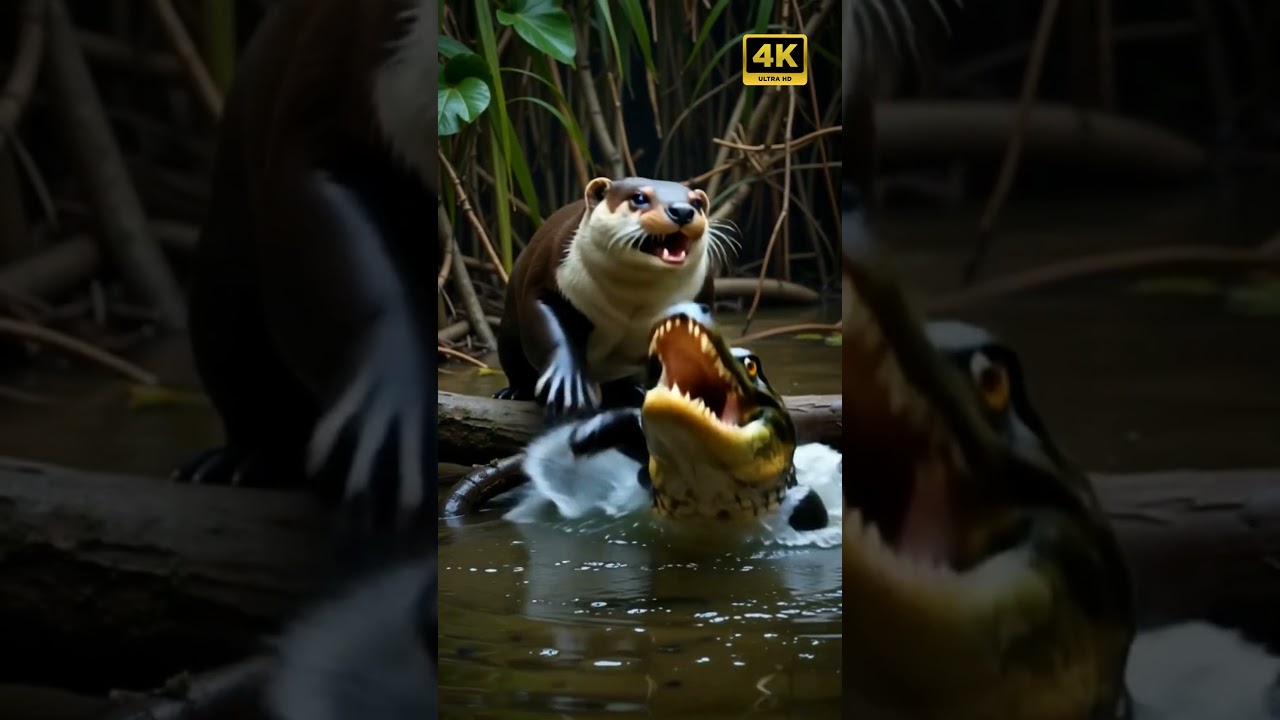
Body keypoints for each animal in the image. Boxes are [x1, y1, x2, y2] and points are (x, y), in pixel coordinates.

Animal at [493, 177, 730, 414]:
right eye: (639, 198)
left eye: (696, 203)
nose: (682, 211)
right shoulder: (545, 279)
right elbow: (549, 329)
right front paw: (568, 387)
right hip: (508, 325)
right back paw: (513, 392)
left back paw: (633, 391)